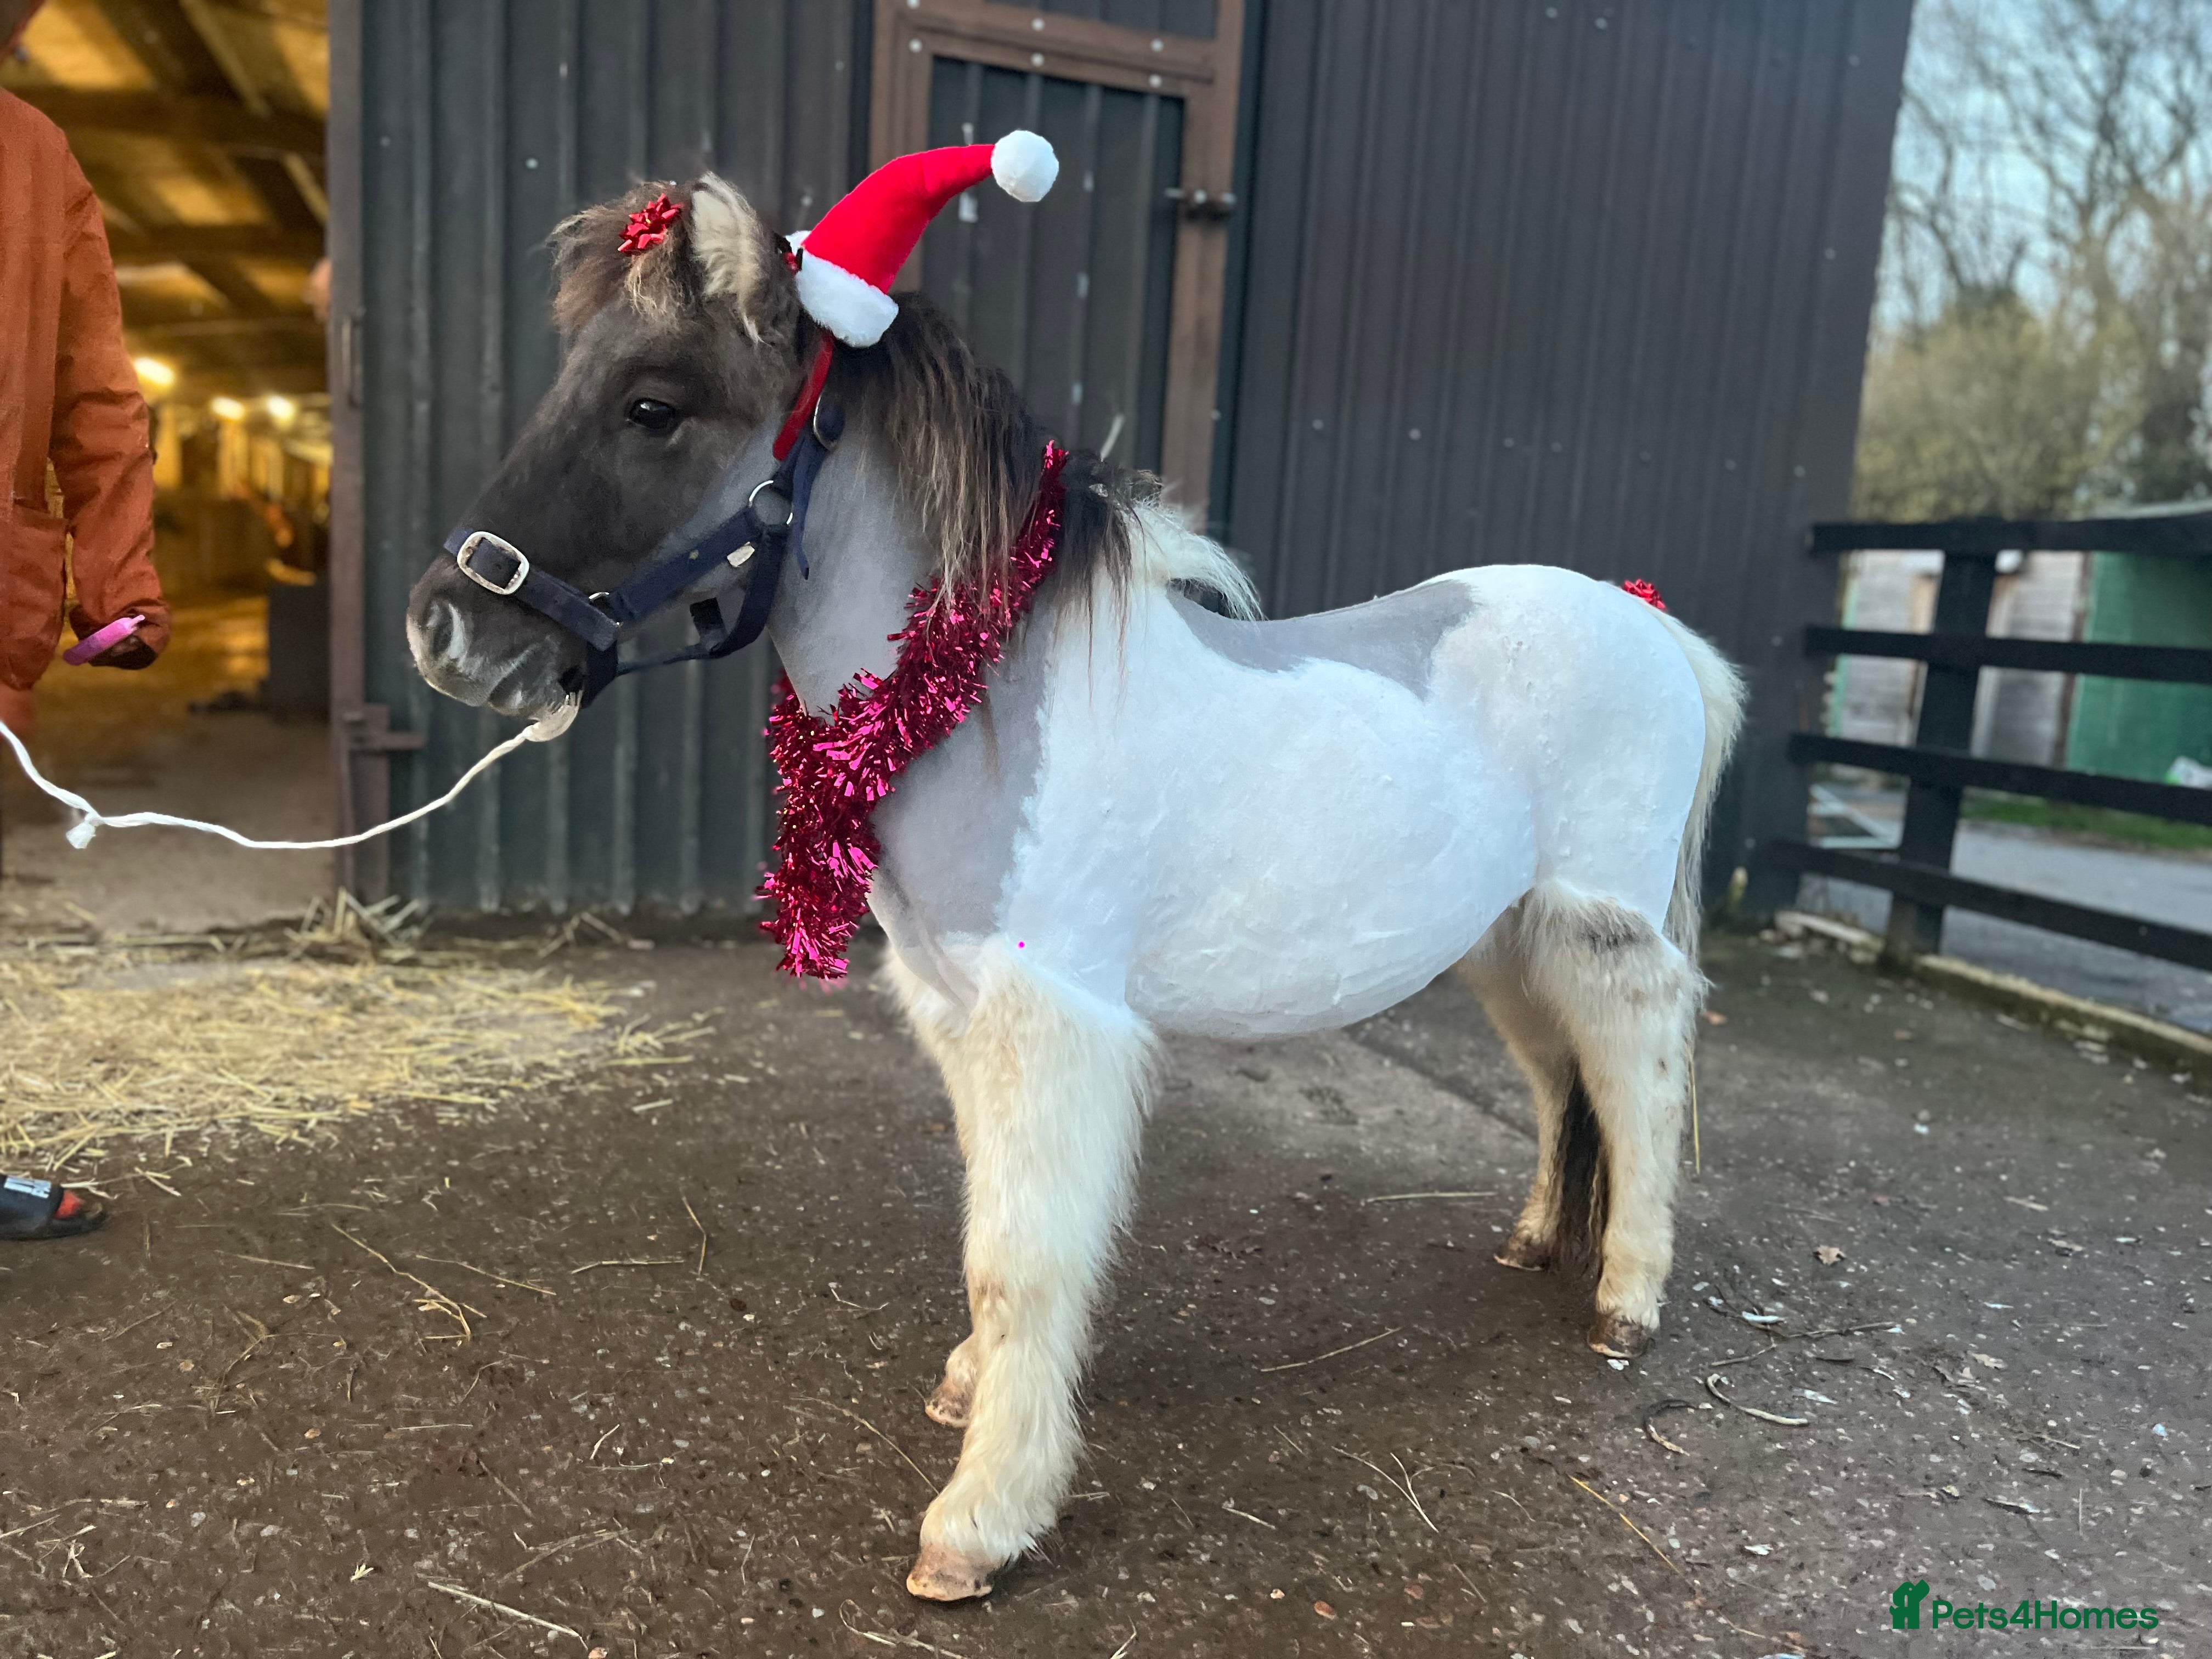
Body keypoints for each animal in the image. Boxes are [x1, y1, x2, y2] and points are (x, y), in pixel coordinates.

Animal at [406, 173, 1746, 1602]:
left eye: (653, 404)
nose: (444, 631)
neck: (971, 692)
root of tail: (1654, 624)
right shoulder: (958, 1016)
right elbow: (990, 1226)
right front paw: (972, 1395)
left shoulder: (1048, 1021)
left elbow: (1022, 1259)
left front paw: (979, 1521)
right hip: (1509, 937)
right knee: (1563, 1082)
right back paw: (1543, 1239)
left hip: (1603, 930)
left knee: (1642, 1073)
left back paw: (1625, 1302)